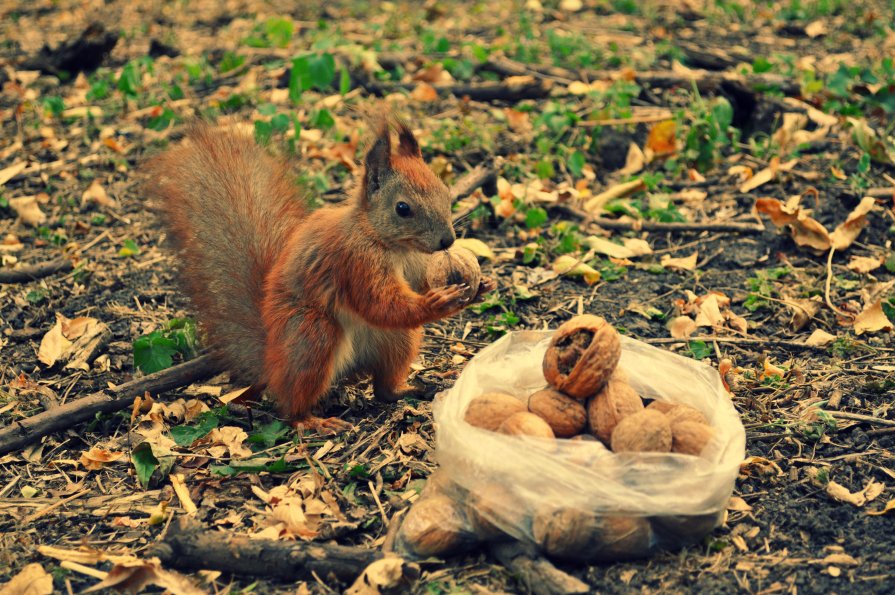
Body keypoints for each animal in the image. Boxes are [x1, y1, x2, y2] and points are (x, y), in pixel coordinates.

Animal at [147, 116, 496, 434]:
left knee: (383, 388)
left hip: (398, 340)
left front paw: (480, 287)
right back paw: (310, 420)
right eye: (402, 208)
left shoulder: (417, 266)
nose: (447, 240)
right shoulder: (354, 261)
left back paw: (407, 389)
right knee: (291, 405)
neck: (392, 245)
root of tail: (272, 359)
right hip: (311, 336)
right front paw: (437, 303)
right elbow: (379, 303)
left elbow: (414, 289)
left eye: (445, 192)